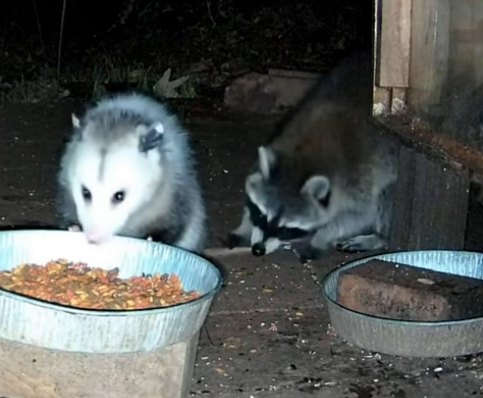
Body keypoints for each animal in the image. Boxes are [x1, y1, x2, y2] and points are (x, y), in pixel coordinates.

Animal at [227, 53, 400, 264]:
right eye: (261, 215)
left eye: (286, 230)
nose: (258, 250)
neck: (304, 157)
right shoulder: (284, 133)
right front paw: (245, 224)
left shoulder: (360, 181)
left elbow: (358, 215)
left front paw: (321, 237)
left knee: (387, 198)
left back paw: (380, 236)